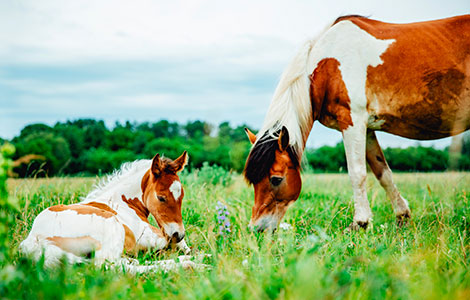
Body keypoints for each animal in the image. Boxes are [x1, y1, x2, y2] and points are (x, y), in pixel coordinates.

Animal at [20, 151, 193, 270]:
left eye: (182, 195)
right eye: (161, 197)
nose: (178, 234)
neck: (122, 203)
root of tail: (34, 240)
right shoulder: (149, 235)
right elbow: (175, 244)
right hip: (112, 226)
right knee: (114, 267)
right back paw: (189, 264)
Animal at [244, 14, 468, 232]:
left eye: (276, 179)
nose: (257, 229)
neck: (328, 65)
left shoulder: (352, 122)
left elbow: (357, 173)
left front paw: (360, 223)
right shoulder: (366, 129)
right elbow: (382, 172)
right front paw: (402, 217)